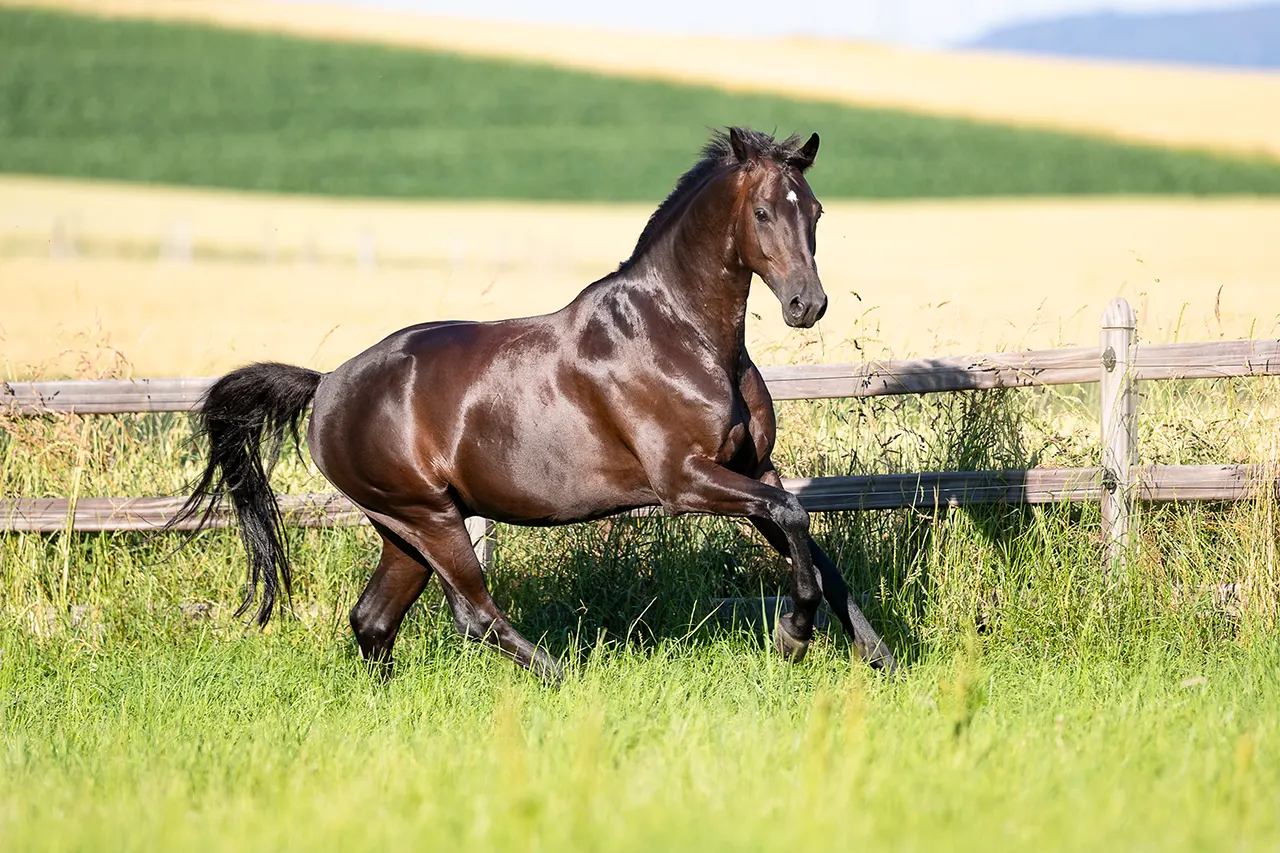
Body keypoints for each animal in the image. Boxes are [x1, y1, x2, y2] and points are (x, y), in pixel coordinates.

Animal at [170, 128, 901, 686]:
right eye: (763, 213)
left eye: (816, 212)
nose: (807, 304)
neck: (679, 334)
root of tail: (324, 386)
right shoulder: (685, 481)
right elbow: (796, 524)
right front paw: (793, 635)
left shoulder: (754, 470)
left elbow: (816, 549)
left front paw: (880, 657)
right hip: (429, 517)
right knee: (473, 614)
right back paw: (566, 678)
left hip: (401, 526)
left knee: (373, 619)